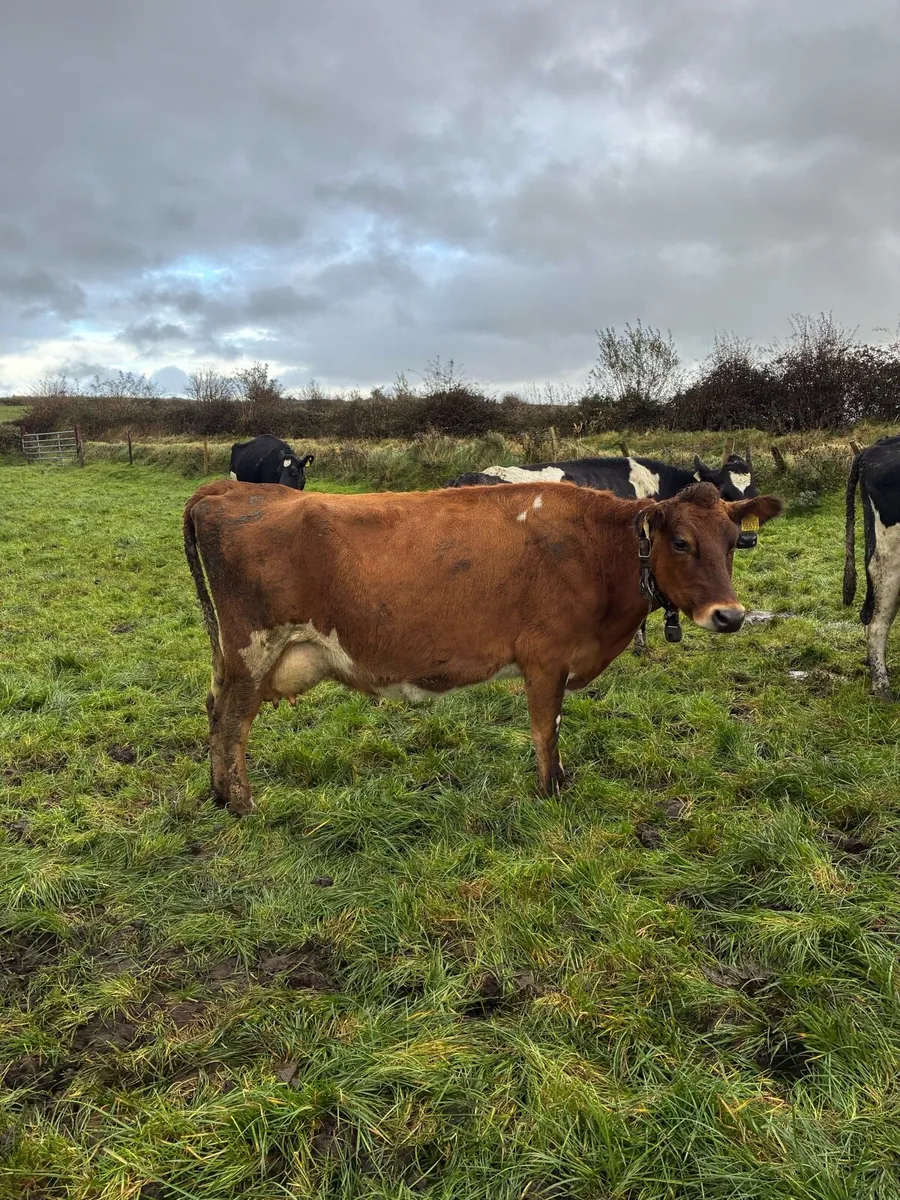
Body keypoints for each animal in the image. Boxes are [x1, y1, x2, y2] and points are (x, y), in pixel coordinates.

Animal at [184, 477, 781, 814]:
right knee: (233, 722)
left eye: (735, 542)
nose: (730, 615)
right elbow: (546, 730)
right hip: (253, 648)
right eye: (680, 542)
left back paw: (219, 795)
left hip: (232, 656)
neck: (594, 548)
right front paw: (552, 792)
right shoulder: (546, 657)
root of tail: (228, 489)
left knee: (214, 710)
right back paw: (243, 804)